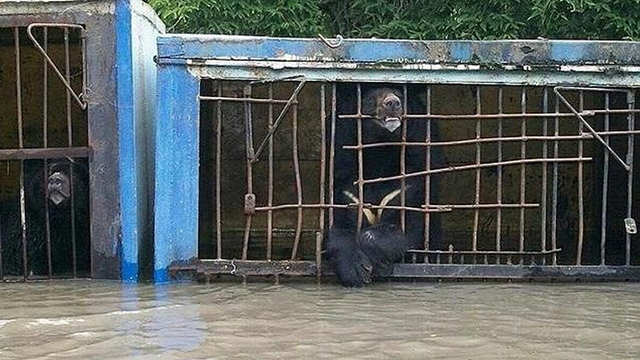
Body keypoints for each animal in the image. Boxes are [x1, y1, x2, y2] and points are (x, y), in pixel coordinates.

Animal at [324, 82, 440, 286]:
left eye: (401, 96)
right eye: (370, 99)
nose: (392, 103)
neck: (381, 152)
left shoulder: (414, 181)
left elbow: (410, 230)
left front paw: (374, 262)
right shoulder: (342, 179)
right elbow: (338, 227)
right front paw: (355, 269)